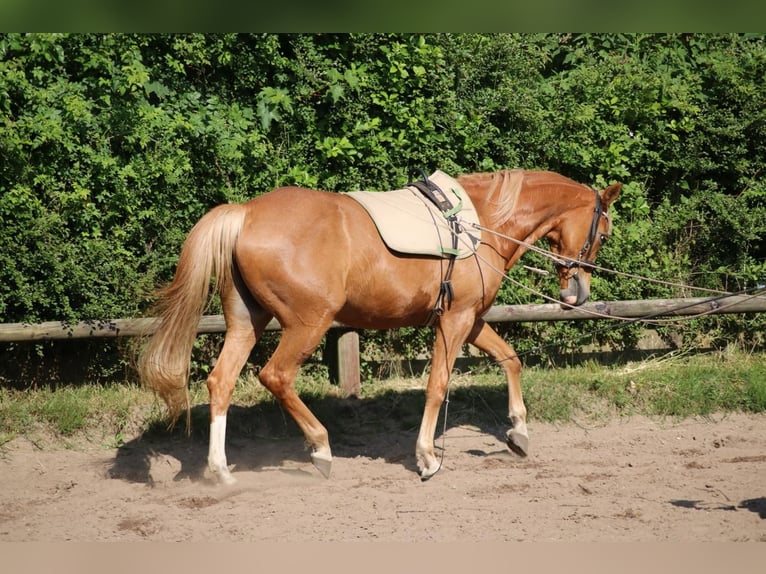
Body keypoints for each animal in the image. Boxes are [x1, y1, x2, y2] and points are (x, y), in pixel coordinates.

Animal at [140, 169, 624, 484]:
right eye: (602, 233)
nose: (577, 293)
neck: (482, 222)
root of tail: (245, 213)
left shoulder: (470, 320)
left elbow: (510, 359)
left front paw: (519, 432)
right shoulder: (455, 320)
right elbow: (437, 385)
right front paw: (427, 458)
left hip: (247, 322)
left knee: (221, 382)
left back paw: (220, 471)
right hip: (307, 325)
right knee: (275, 376)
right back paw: (321, 448)